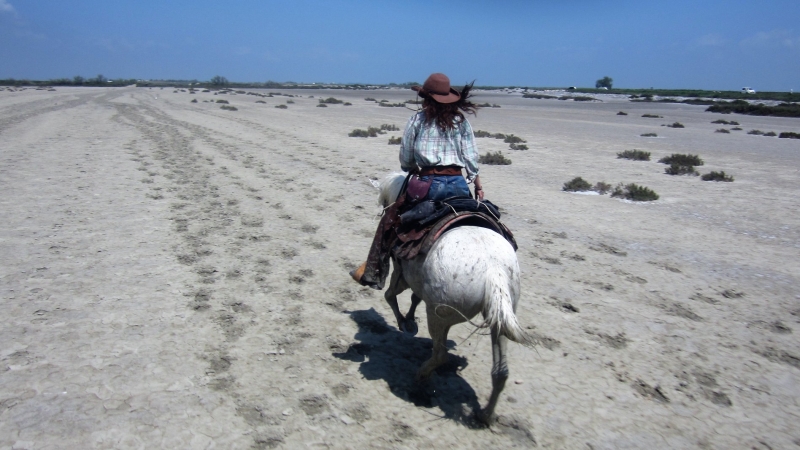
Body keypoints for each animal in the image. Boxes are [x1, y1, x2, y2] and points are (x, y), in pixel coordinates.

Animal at [374, 173, 532, 426]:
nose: (382, 210)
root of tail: (493, 268)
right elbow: (414, 298)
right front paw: (409, 319)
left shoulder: (401, 274)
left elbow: (391, 296)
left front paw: (404, 323)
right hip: (499, 319)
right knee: (501, 371)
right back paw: (484, 415)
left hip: (439, 316)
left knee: (440, 354)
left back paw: (420, 378)